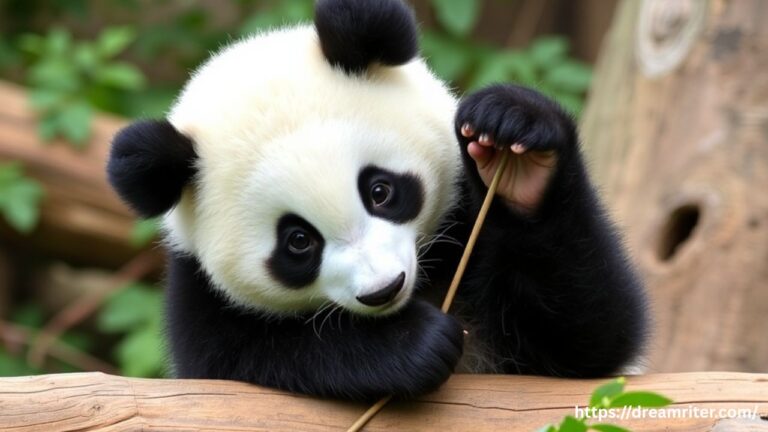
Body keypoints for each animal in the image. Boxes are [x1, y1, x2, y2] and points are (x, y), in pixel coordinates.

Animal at [107, 0, 647, 401]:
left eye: (380, 191)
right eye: (298, 241)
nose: (384, 290)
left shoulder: (464, 219)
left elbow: (589, 344)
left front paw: (514, 135)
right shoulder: (198, 293)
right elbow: (245, 357)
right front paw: (414, 344)